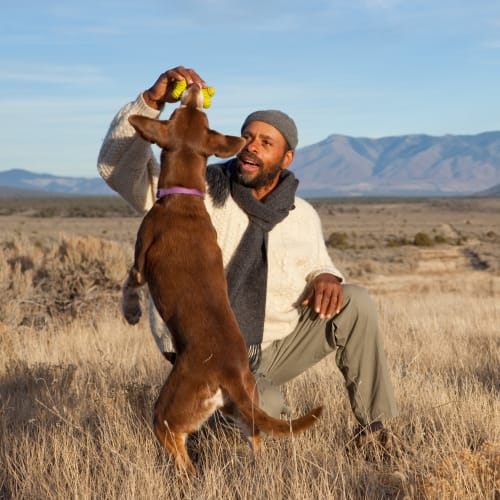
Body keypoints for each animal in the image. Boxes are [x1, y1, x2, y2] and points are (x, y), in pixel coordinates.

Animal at [123, 84, 322, 474]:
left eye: (178, 112)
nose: (193, 87)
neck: (185, 198)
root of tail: (229, 373)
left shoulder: (141, 257)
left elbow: (129, 281)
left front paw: (131, 310)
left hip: (168, 412)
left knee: (181, 454)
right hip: (244, 407)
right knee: (256, 437)